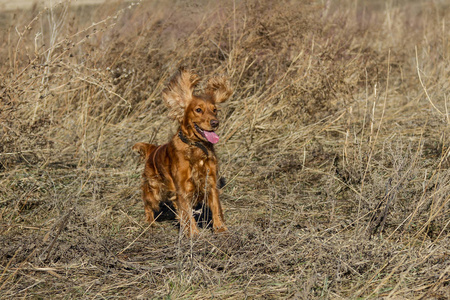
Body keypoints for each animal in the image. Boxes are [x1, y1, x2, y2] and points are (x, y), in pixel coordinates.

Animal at [133, 68, 232, 237]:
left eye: (215, 110)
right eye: (198, 110)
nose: (215, 123)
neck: (196, 147)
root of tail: (153, 148)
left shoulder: (210, 181)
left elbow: (215, 206)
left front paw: (220, 228)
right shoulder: (183, 187)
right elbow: (186, 211)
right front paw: (193, 233)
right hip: (154, 188)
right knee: (147, 202)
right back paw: (150, 222)